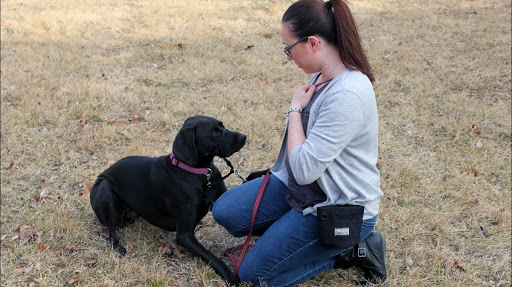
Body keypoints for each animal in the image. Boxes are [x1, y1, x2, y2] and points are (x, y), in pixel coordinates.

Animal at [90, 115, 246, 286]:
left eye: (222, 126)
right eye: (214, 132)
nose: (244, 137)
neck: (200, 174)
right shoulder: (184, 235)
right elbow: (211, 257)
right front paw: (230, 276)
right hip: (105, 188)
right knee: (111, 231)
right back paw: (119, 247)